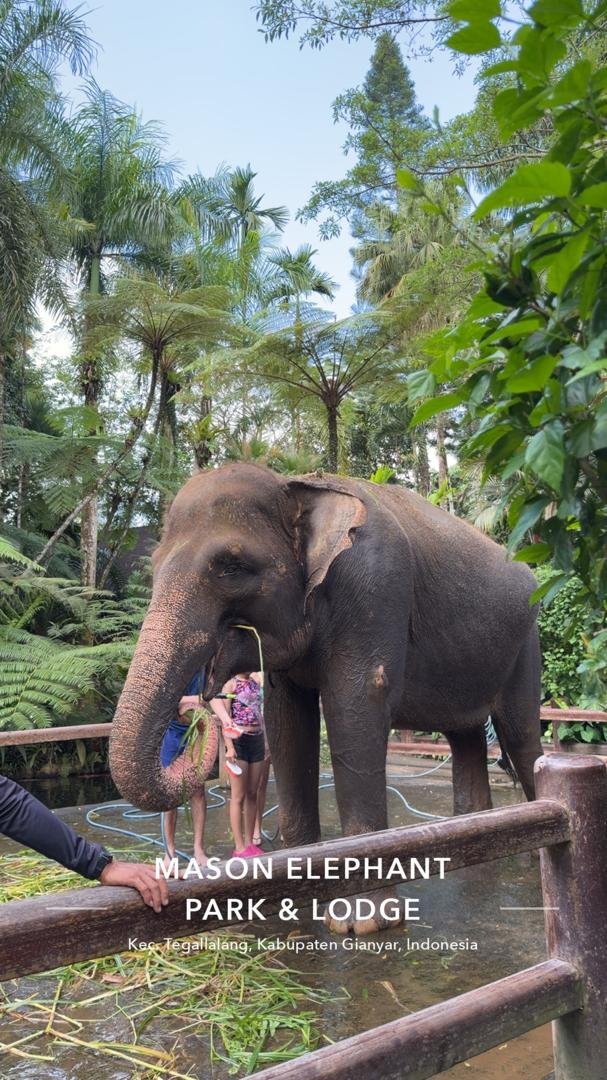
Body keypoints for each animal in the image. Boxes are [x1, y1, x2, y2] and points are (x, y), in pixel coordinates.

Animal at [109, 462, 542, 933]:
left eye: (232, 566)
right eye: (153, 565)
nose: (197, 715)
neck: (298, 487)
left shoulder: (374, 589)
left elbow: (354, 707)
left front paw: (363, 921)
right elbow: (287, 721)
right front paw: (300, 892)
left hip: (526, 644)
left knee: (521, 736)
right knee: (465, 737)